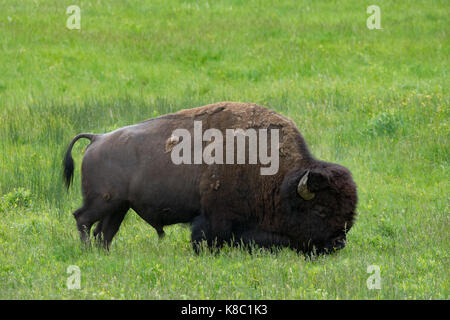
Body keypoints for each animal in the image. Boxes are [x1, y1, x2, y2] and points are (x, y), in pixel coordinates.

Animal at [64, 101, 358, 254]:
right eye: (320, 210)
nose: (338, 244)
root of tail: (97, 138)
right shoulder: (213, 217)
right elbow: (205, 237)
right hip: (103, 202)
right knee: (82, 219)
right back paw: (87, 251)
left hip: (119, 207)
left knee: (105, 232)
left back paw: (103, 253)